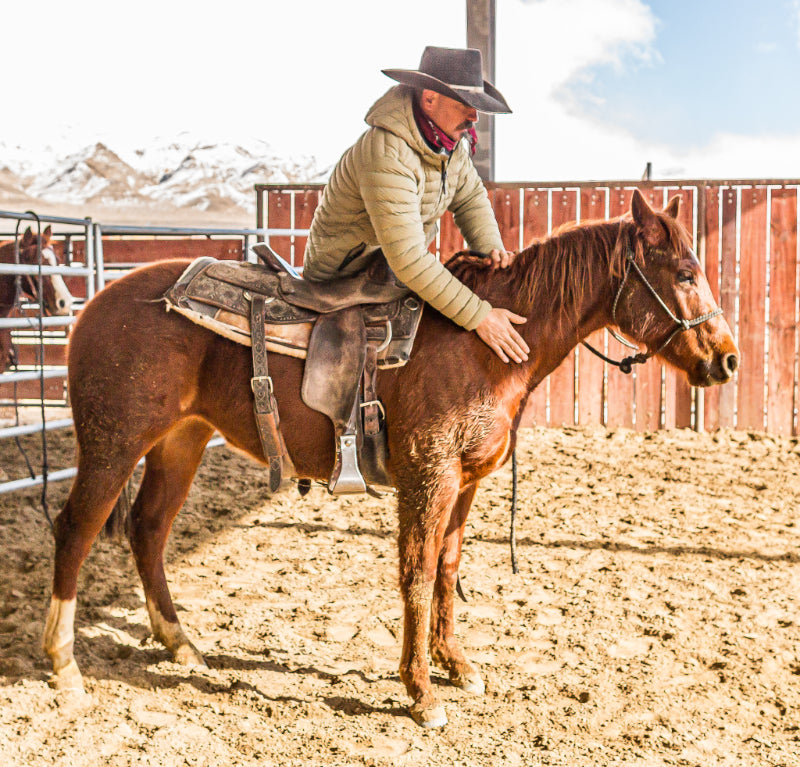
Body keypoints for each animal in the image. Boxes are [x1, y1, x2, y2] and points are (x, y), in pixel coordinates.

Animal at [42, 190, 736, 728]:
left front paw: (457, 665)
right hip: (113, 444)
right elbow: (418, 573)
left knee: (148, 529)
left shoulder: (465, 483)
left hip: (180, 442)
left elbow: (449, 568)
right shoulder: (429, 479)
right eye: (684, 273)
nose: (727, 360)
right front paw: (421, 691)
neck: (482, 343)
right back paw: (63, 665)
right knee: (76, 530)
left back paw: (180, 645)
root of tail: (96, 304)